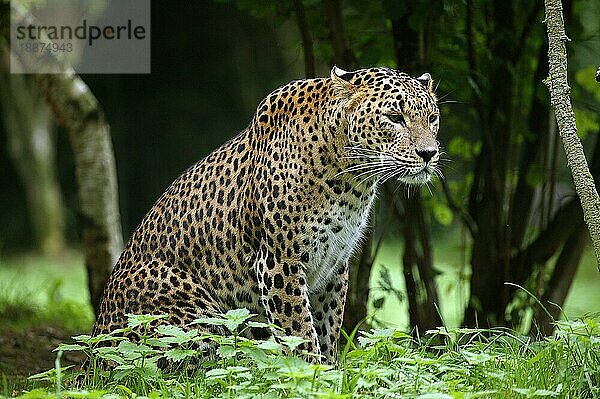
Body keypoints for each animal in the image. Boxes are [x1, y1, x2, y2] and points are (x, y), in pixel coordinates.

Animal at [94, 65, 440, 362]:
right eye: (395, 117)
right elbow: (300, 333)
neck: (351, 181)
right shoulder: (279, 262)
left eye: (433, 117)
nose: (429, 153)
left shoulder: (335, 265)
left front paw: (329, 375)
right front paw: (308, 375)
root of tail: (93, 357)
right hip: (189, 313)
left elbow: (328, 328)